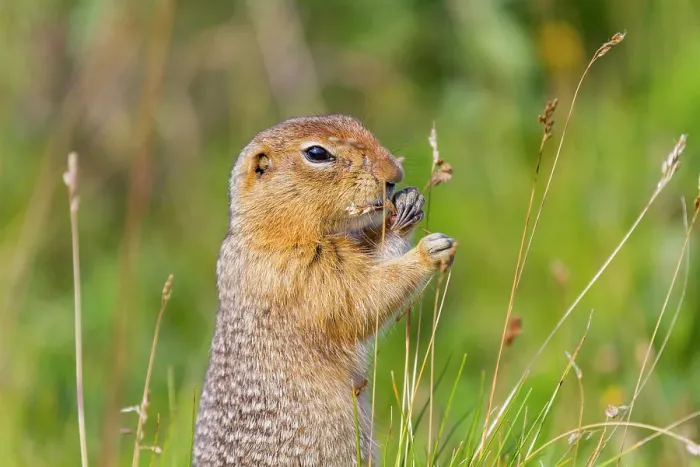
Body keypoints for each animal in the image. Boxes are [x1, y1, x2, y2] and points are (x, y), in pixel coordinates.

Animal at [193, 114, 456, 466]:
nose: (394, 175)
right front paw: (428, 251)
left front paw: (408, 205)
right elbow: (358, 299)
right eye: (317, 153)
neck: (271, 231)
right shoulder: (300, 273)